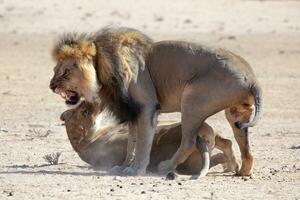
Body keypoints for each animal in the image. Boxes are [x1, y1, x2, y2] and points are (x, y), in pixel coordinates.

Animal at [60, 101, 239, 177]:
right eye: (84, 112)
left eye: (79, 108)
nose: (93, 100)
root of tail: (199, 137)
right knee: (219, 153)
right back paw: (232, 167)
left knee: (226, 143)